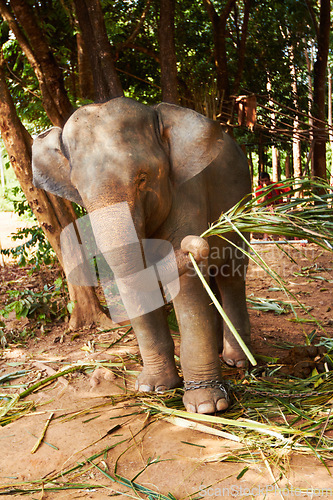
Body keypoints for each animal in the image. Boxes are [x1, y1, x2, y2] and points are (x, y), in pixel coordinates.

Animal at [32, 96, 250, 414]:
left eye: (143, 178)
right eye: (80, 190)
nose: (195, 244)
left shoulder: (187, 193)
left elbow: (187, 285)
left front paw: (207, 407)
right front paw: (153, 388)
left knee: (231, 274)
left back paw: (238, 360)